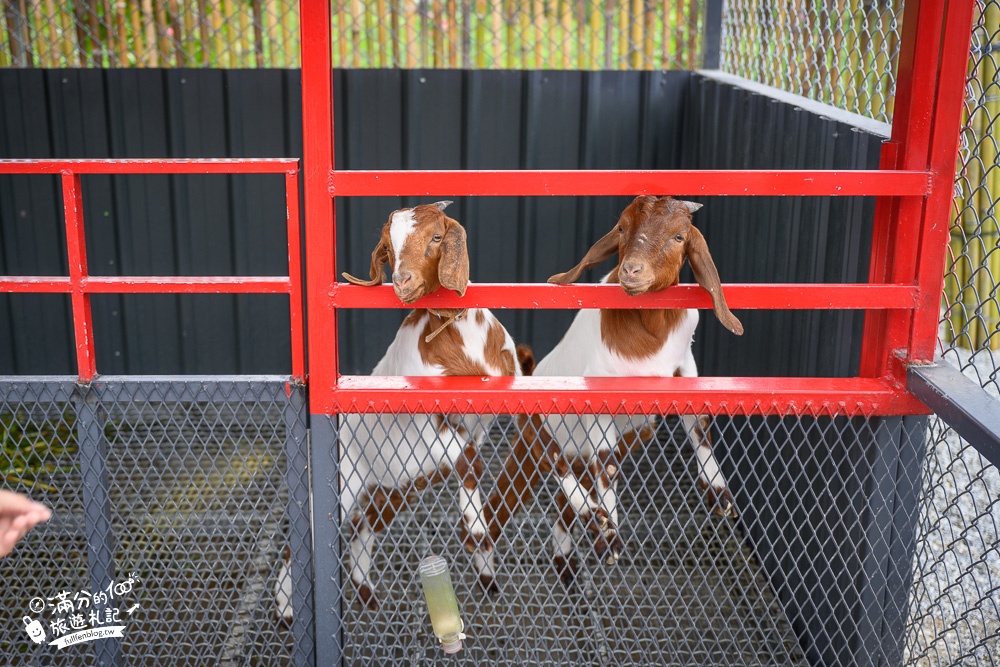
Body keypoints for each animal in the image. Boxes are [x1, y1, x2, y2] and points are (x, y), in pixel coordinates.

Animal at [484, 196, 744, 588]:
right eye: (622, 228)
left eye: (679, 237)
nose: (631, 271)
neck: (651, 329)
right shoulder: (598, 398)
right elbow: (605, 464)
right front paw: (610, 541)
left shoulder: (685, 365)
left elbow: (699, 425)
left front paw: (720, 496)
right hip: (536, 438)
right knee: (519, 495)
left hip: (623, 437)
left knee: (564, 498)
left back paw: (568, 562)